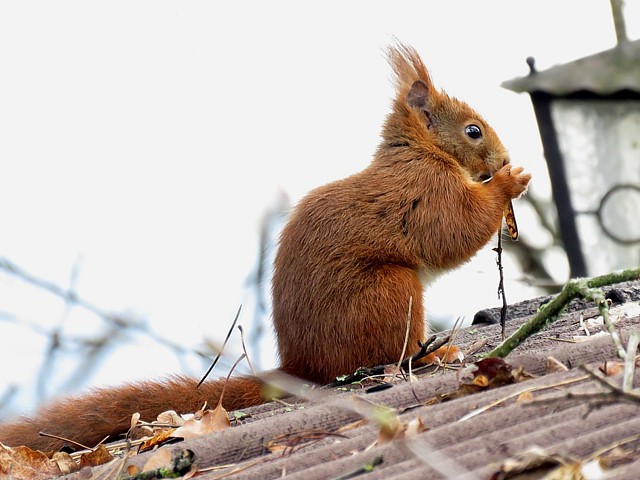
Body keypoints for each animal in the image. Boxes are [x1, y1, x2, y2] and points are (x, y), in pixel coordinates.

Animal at [0, 44, 528, 450]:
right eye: (473, 130)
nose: (503, 157)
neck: (421, 150)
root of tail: (303, 366)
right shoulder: (425, 191)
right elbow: (453, 231)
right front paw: (509, 182)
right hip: (391, 293)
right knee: (384, 356)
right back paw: (431, 356)